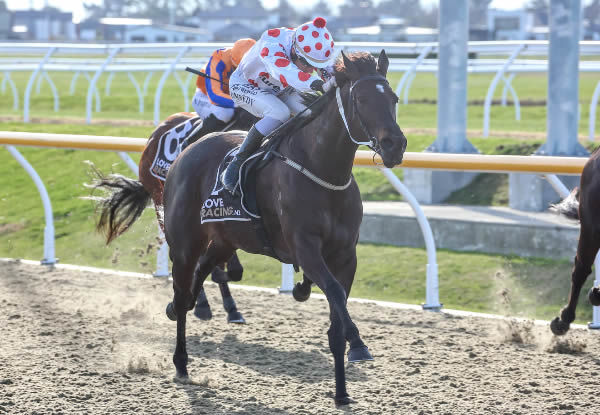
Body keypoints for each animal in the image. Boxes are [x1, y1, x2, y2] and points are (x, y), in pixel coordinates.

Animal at [92, 109, 256, 324]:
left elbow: (230, 269)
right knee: (184, 254)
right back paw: (202, 303)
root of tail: (154, 136)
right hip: (162, 201)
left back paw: (229, 307)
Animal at [162, 50, 408, 404]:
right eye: (361, 98)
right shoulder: (305, 248)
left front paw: (342, 393)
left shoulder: (346, 255)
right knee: (183, 292)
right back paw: (181, 362)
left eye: (393, 98)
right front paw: (359, 345)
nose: (395, 145)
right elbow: (334, 293)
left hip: (224, 239)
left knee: (201, 275)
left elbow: (336, 315)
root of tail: (187, 151)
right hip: (184, 242)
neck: (323, 172)